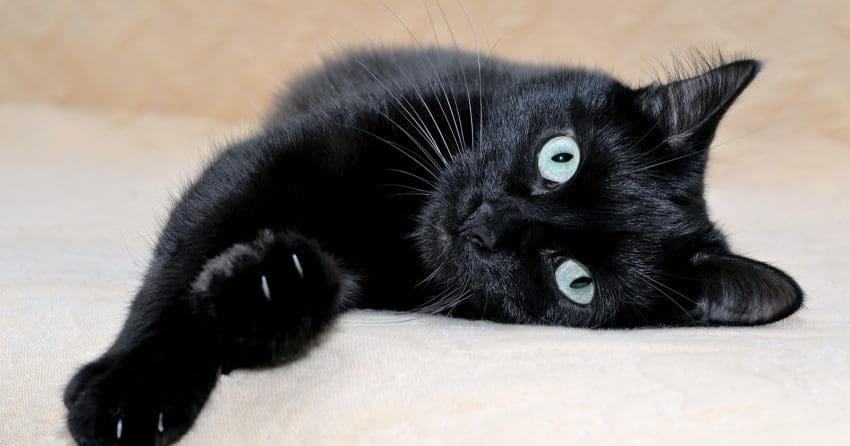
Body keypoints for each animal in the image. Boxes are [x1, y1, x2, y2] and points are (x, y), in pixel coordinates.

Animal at [63, 47, 800, 444]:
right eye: (560, 156)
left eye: (577, 281)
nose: (485, 225)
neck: (396, 223)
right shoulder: (271, 160)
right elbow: (182, 261)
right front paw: (133, 389)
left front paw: (263, 293)